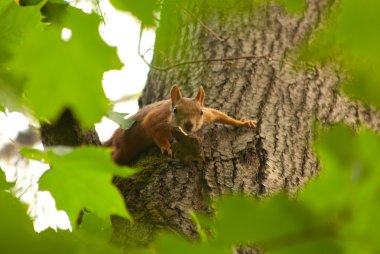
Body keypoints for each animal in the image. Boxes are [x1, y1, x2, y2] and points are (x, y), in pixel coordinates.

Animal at [105, 85, 256, 165]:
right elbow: (155, 132)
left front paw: (243, 123)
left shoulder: (207, 116)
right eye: (175, 110)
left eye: (201, 112)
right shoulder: (155, 119)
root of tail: (114, 136)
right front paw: (166, 147)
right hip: (122, 149)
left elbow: (219, 115)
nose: (189, 126)